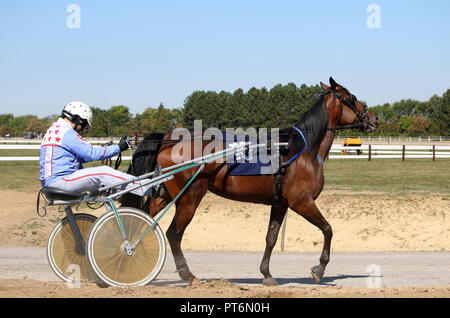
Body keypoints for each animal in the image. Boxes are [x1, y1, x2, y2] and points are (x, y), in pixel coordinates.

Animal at [121, 77, 378, 286]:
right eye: (352, 98)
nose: (374, 119)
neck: (300, 150)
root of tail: (168, 139)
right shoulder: (302, 202)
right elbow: (328, 229)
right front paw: (319, 268)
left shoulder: (280, 203)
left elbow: (271, 238)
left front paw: (267, 274)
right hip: (188, 198)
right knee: (173, 233)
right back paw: (187, 275)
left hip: (165, 195)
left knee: (143, 222)